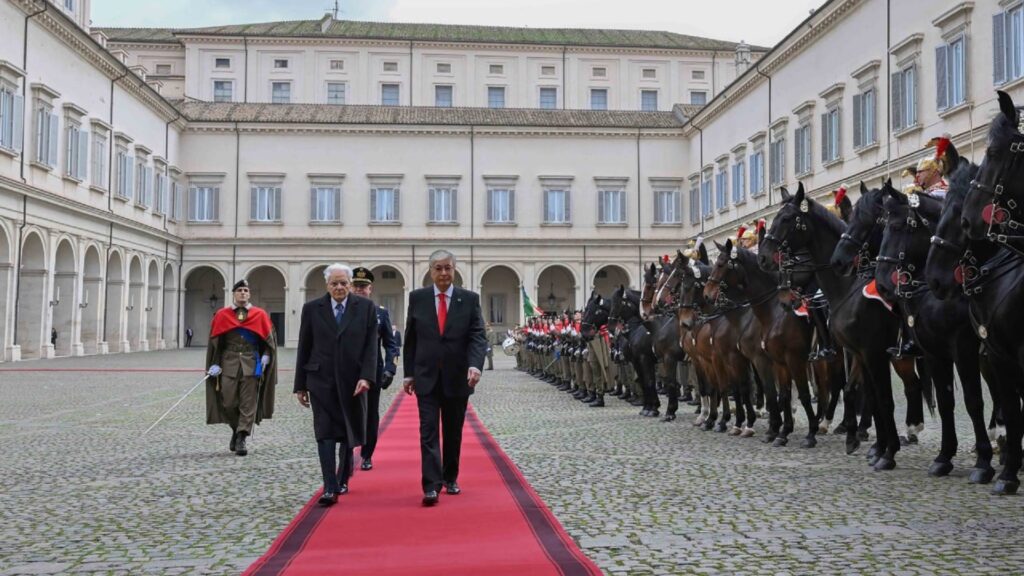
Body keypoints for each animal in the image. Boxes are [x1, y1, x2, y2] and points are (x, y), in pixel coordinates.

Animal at [761, 183, 905, 467]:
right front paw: (869, 443)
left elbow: (870, 395)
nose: (764, 257)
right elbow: (864, 393)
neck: (849, 288)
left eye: (786, 218)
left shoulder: (867, 352)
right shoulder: (855, 352)